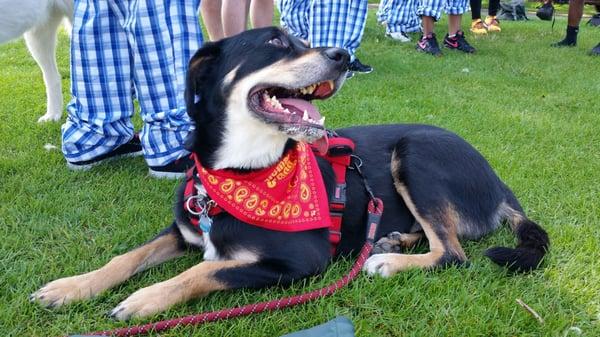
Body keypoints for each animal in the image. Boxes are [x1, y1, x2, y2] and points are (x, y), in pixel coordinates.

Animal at [31, 27, 548, 318]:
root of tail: (500, 183)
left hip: (416, 153)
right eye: (276, 42)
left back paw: (389, 259)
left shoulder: (299, 261)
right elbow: (125, 258)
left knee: (454, 254)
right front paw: (70, 288)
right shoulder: (183, 230)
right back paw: (392, 240)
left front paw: (145, 299)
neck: (242, 173)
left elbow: (203, 271)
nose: (342, 56)